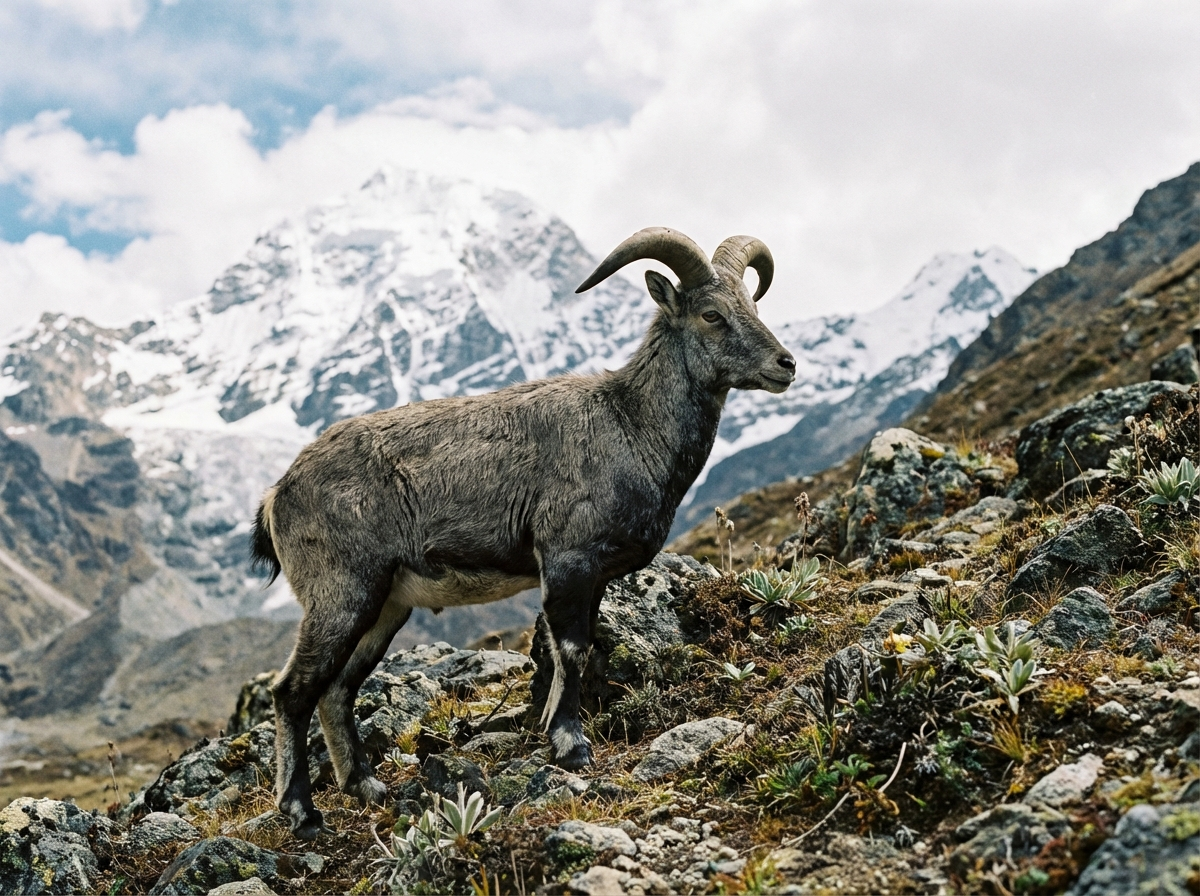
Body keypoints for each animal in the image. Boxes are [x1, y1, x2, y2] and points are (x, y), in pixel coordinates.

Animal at [251, 227, 795, 838]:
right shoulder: (567, 557)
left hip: (386, 604)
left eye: (752, 306)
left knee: (338, 689)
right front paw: (572, 746)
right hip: (341, 595)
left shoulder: (589, 576)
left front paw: (557, 737)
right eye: (711, 314)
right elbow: (574, 650)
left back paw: (366, 786)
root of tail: (277, 494)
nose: (786, 364)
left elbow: (570, 651)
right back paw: (301, 811)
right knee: (293, 690)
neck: (629, 424)